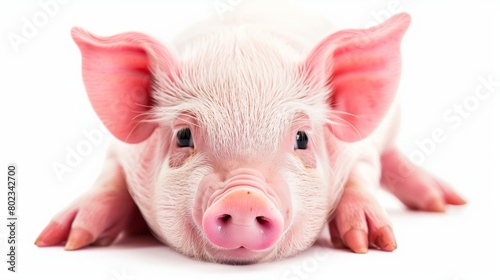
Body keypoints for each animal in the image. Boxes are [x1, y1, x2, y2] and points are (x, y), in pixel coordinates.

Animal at [36, 1, 464, 264]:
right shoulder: (120, 151)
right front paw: (63, 239)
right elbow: (109, 181)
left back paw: (445, 202)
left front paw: (371, 245)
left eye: (302, 138)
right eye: (184, 136)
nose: (244, 195)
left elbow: (363, 175)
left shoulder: (359, 149)